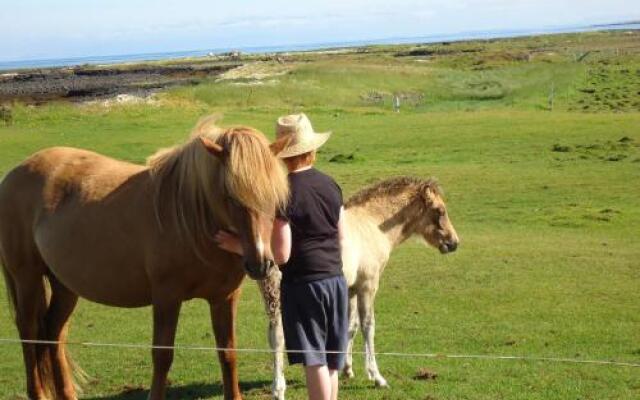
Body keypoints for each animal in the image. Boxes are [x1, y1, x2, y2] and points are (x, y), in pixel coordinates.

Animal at [0, 116, 290, 400]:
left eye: (273, 196)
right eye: (229, 195)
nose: (261, 264)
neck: (189, 219)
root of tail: (14, 173)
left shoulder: (224, 297)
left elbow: (228, 353)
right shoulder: (166, 297)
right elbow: (162, 356)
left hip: (64, 285)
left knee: (54, 332)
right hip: (26, 278)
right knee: (29, 331)